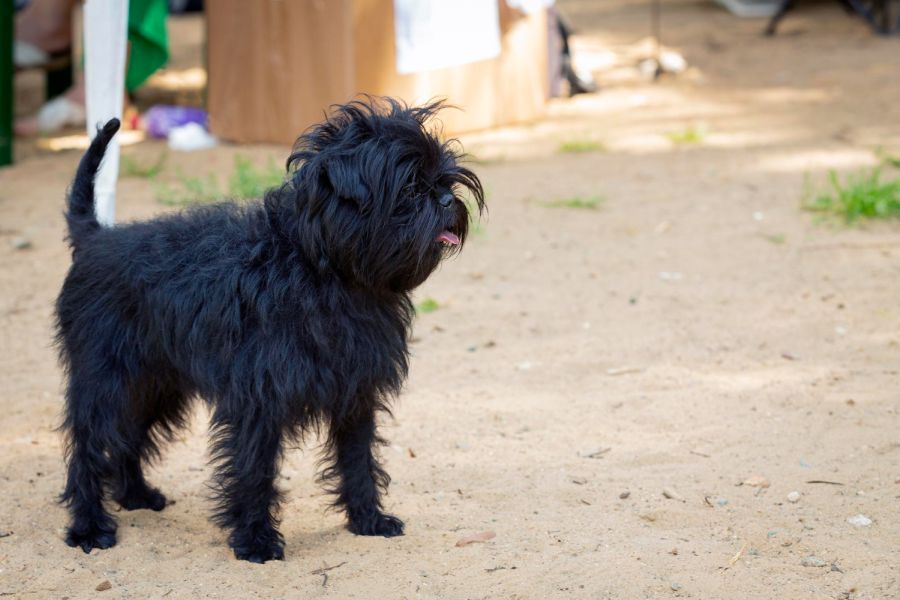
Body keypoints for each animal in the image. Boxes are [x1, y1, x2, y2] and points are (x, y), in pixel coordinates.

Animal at [56, 98, 486, 564]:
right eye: (409, 186)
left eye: (442, 177)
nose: (446, 197)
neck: (321, 267)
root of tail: (95, 238)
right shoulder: (258, 399)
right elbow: (255, 470)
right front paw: (255, 540)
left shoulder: (355, 391)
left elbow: (358, 459)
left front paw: (368, 520)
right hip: (107, 381)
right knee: (87, 448)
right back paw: (88, 526)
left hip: (156, 386)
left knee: (128, 436)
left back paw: (135, 494)